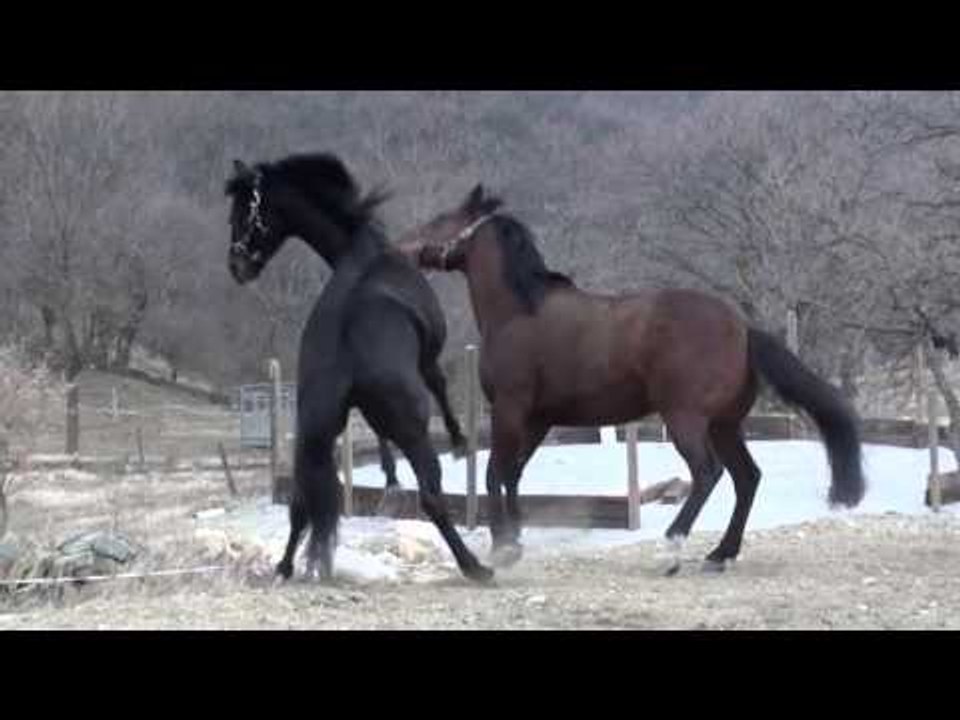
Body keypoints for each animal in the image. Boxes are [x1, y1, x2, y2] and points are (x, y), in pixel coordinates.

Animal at [225, 154, 491, 583]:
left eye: (245, 213)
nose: (237, 266)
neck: (365, 251)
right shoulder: (428, 356)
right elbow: (440, 387)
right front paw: (458, 442)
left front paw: (390, 475)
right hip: (412, 430)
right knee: (431, 496)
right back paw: (475, 566)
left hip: (313, 436)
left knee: (301, 503)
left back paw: (285, 566)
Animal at [400, 185, 866, 574]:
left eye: (441, 219)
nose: (403, 248)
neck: (520, 312)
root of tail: (742, 327)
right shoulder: (537, 420)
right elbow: (513, 474)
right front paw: (514, 542)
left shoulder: (510, 410)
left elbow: (494, 473)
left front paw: (502, 547)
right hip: (724, 425)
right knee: (746, 478)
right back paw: (719, 554)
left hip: (687, 420)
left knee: (707, 474)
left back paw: (671, 550)